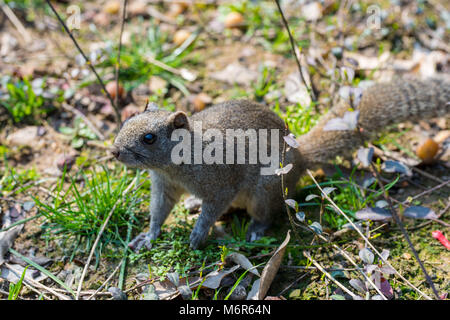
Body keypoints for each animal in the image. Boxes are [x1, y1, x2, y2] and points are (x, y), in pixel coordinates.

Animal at [112, 77, 450, 250]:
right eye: (127, 120)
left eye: (149, 138)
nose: (114, 152)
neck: (175, 165)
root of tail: (301, 160)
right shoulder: (163, 186)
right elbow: (159, 211)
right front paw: (149, 236)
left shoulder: (220, 182)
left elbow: (213, 207)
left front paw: (197, 235)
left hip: (265, 190)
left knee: (265, 214)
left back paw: (254, 230)